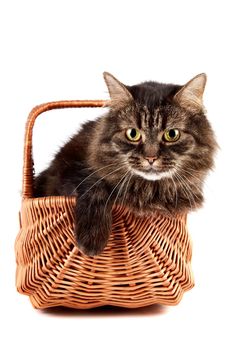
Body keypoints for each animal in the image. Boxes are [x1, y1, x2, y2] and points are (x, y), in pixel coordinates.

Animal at [33, 72, 218, 256]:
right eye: (133, 134)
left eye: (172, 134)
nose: (151, 157)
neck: (148, 189)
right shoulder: (70, 172)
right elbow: (95, 186)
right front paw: (92, 240)